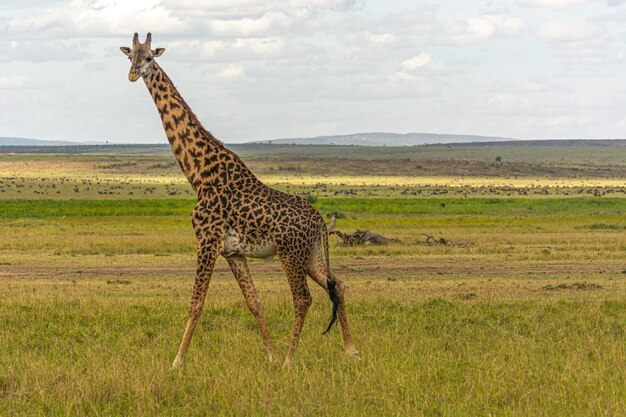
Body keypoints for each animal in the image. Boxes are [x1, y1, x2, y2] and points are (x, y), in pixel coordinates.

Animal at [120, 34, 358, 368]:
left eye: (150, 58)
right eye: (130, 56)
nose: (132, 74)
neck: (198, 174)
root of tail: (319, 222)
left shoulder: (207, 243)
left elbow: (196, 303)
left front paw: (177, 362)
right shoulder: (233, 253)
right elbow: (254, 302)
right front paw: (269, 355)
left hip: (290, 254)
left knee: (303, 298)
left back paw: (290, 360)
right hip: (311, 255)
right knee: (339, 286)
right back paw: (351, 350)